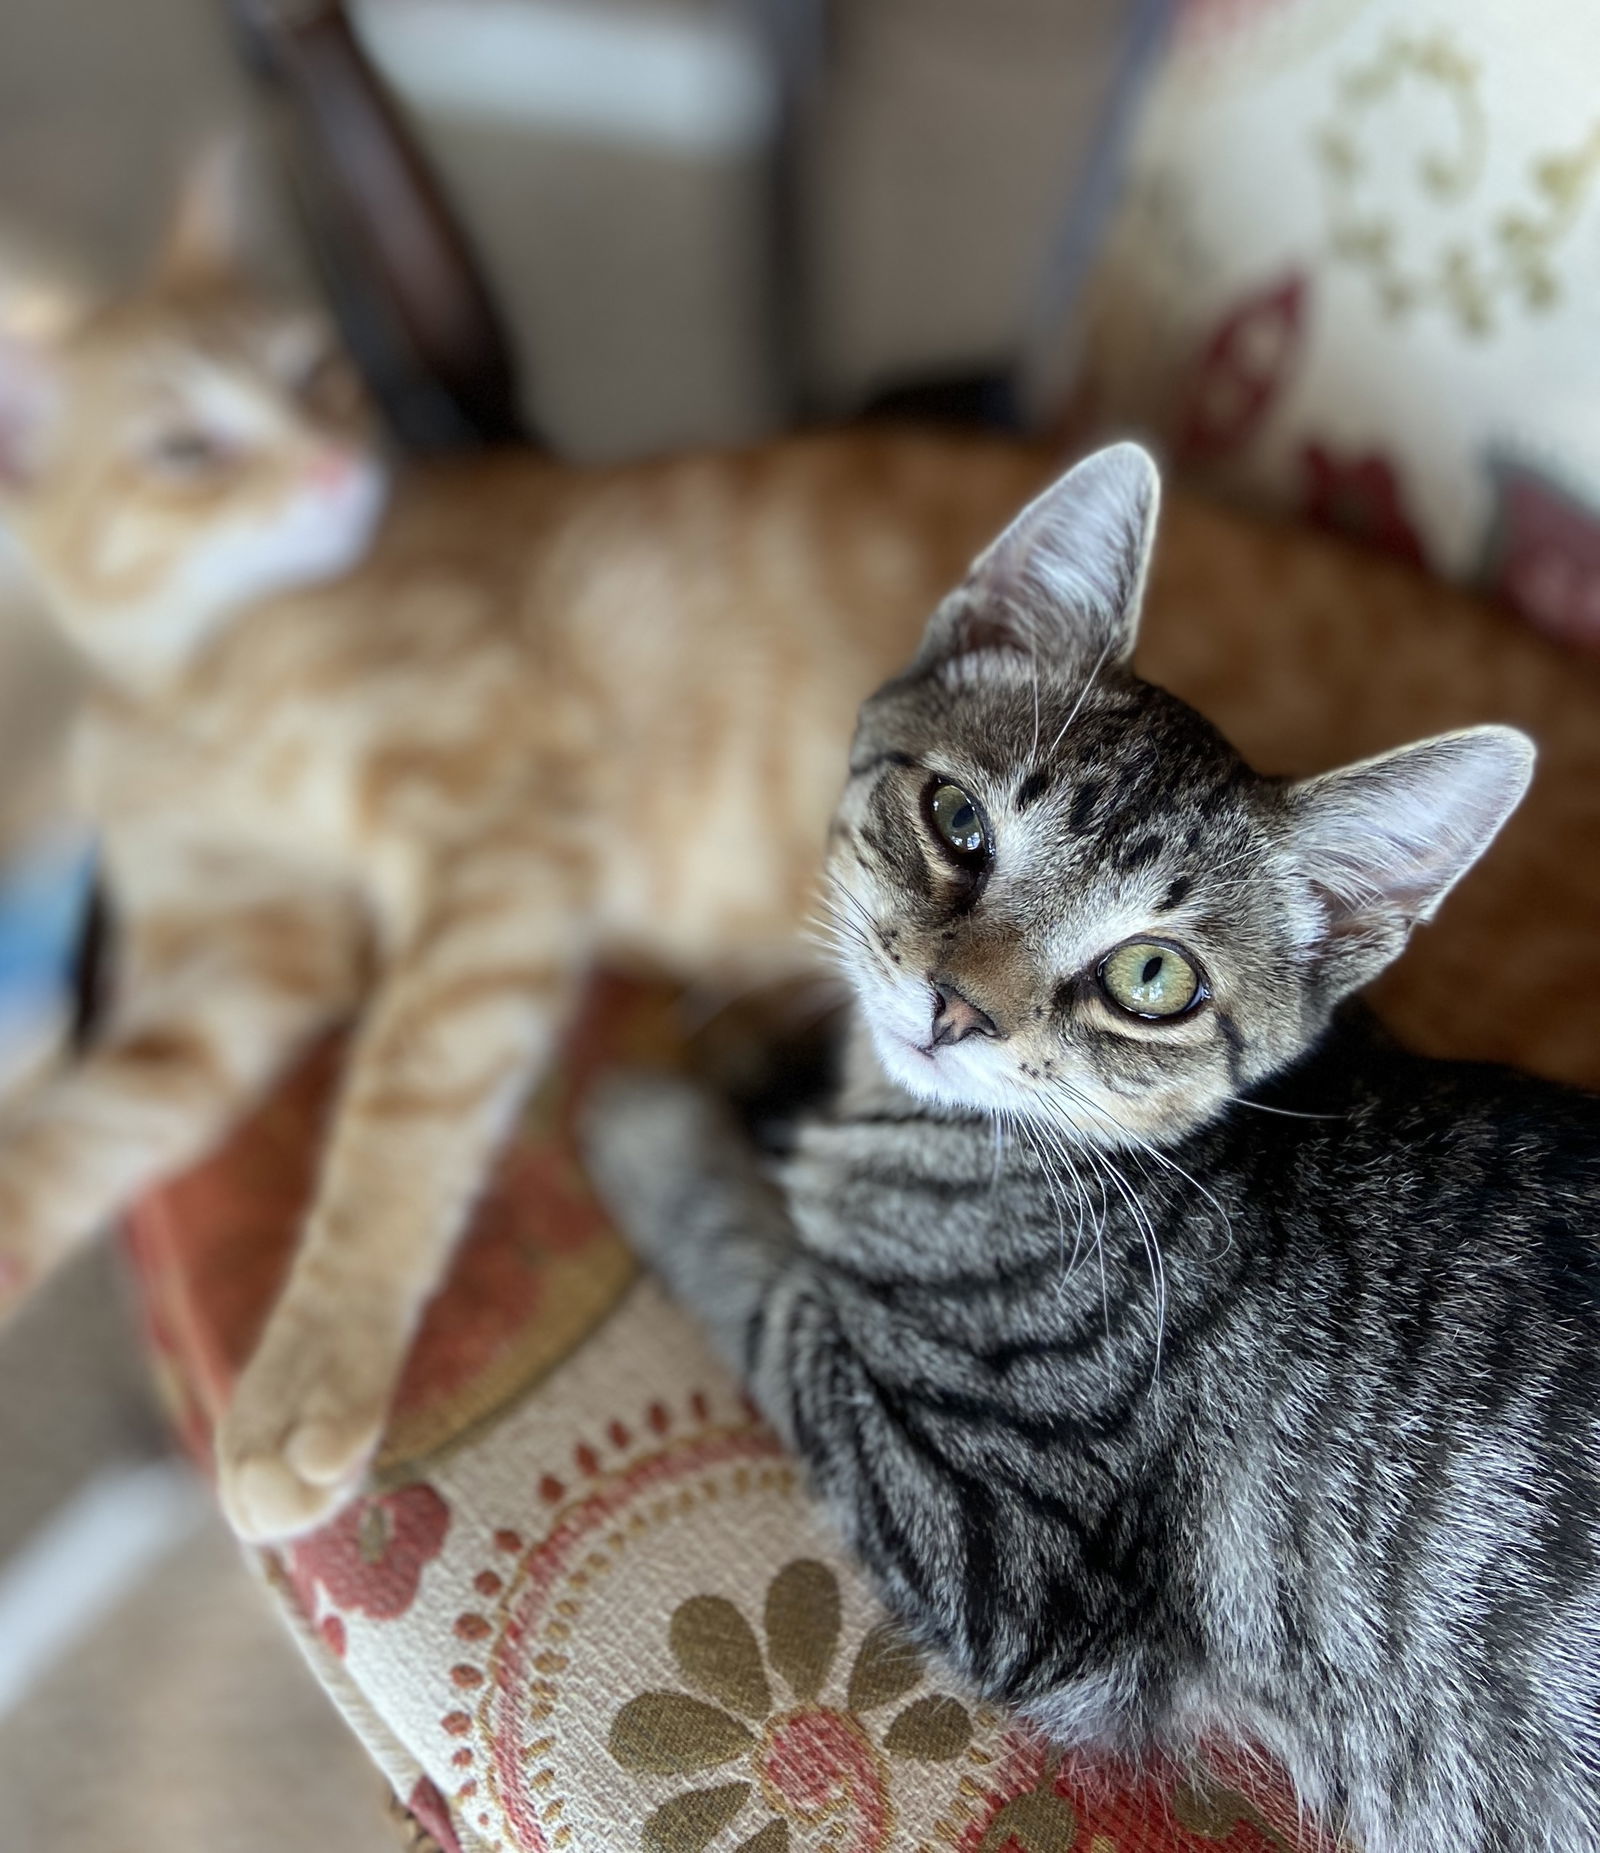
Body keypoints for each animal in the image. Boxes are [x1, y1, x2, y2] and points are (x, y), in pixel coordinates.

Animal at [0, 166, 1594, 1549]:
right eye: (959, 823)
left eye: (1153, 977)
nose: (955, 1008)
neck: (200, 672)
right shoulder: (235, 949)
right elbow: (98, 1112)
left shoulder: (509, 841)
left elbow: (410, 1094)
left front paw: (305, 1378)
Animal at [585, 448, 1600, 1853]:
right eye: (955, 819)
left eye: (1152, 976)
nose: (954, 1008)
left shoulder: (1000, 1549)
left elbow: (761, 1269)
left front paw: (650, 1118)